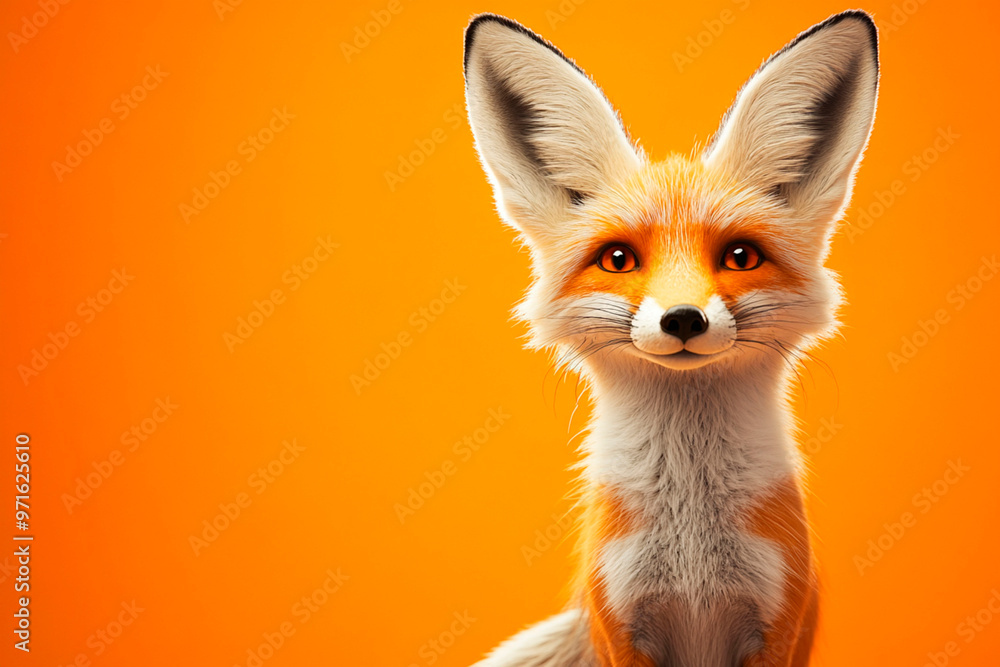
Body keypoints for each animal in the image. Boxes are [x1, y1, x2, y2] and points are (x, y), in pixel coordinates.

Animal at [463, 9, 879, 667]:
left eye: (740, 256)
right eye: (617, 259)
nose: (683, 319)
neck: (692, 555)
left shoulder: (780, 620)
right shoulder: (620, 621)